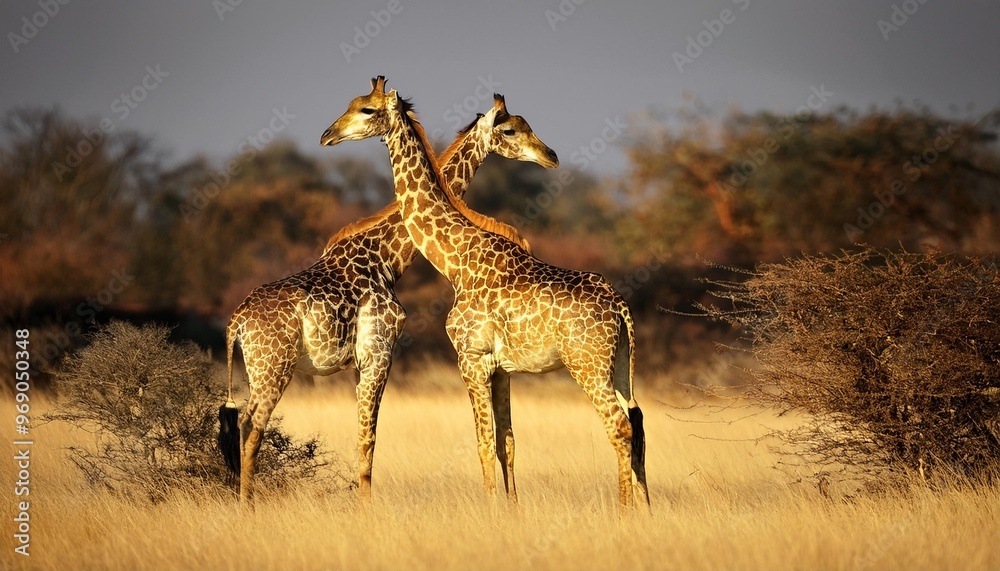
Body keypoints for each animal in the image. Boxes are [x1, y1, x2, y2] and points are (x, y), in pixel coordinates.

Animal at [218, 77, 558, 504]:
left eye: (364, 108)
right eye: (511, 130)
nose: (550, 155)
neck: (387, 257)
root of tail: (235, 323)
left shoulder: (361, 363)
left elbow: (362, 439)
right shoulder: (379, 353)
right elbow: (369, 442)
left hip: (258, 369)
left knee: (242, 427)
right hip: (273, 367)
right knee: (252, 428)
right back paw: (246, 506)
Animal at [321, 78, 649, 509]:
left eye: (367, 110)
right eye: (513, 129)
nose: (327, 135)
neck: (456, 260)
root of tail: (620, 307)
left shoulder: (471, 357)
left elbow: (482, 442)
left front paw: (492, 509)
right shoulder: (501, 368)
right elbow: (506, 441)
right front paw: (511, 510)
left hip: (587, 365)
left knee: (619, 427)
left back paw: (624, 511)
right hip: (621, 365)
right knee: (638, 423)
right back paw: (647, 509)